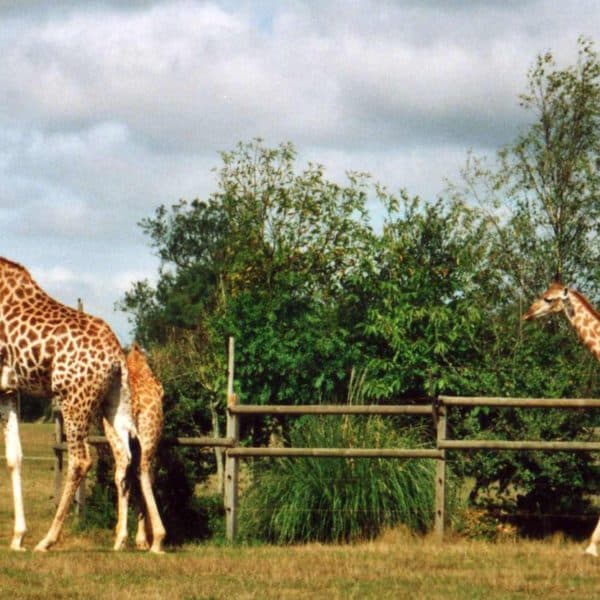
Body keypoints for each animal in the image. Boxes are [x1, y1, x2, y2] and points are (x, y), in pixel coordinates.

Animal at [0, 255, 135, 552]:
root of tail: (118, 357)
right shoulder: (8, 389)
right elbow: (15, 457)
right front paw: (17, 537)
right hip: (113, 404)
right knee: (124, 456)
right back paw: (120, 539)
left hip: (74, 401)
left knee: (80, 460)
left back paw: (47, 540)